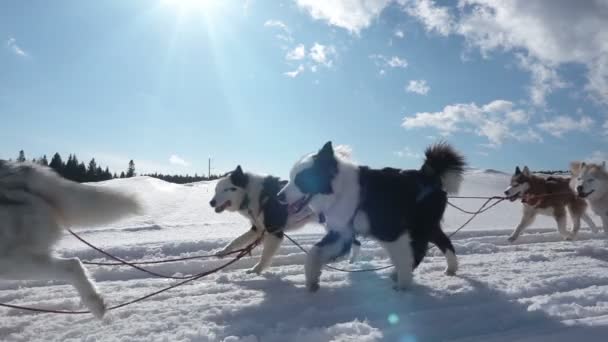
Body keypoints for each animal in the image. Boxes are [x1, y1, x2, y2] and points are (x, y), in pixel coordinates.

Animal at [211, 166, 358, 276]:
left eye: (227, 189)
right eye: (216, 189)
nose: (211, 202)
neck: (256, 196)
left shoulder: (275, 232)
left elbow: (265, 256)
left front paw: (256, 270)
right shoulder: (257, 229)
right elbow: (236, 241)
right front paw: (223, 252)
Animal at [276, 142, 466, 292]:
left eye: (300, 179)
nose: (279, 196)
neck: (340, 190)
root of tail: (428, 174)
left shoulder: (390, 229)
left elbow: (402, 257)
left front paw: (403, 287)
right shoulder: (342, 232)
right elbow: (314, 253)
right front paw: (311, 281)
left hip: (421, 226)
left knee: (421, 250)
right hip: (427, 226)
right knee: (443, 242)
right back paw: (451, 269)